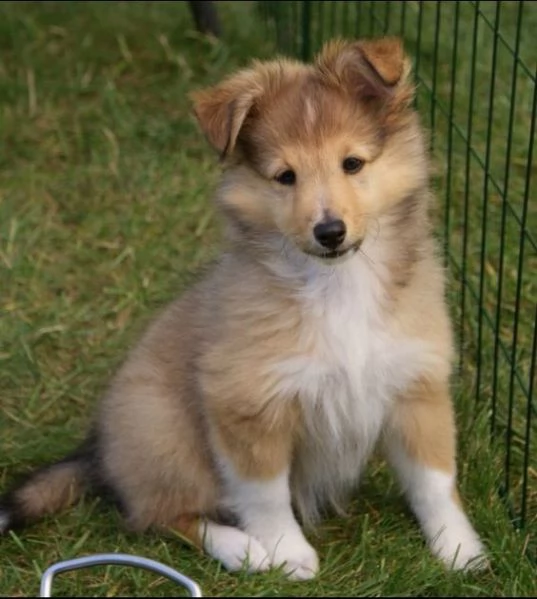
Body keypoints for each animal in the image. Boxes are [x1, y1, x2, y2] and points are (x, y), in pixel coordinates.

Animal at [0, 37, 486, 580]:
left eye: (353, 163)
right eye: (285, 177)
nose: (329, 232)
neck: (338, 284)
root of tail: (99, 450)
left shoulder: (416, 385)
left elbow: (435, 479)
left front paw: (459, 549)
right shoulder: (247, 404)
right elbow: (265, 494)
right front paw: (287, 553)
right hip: (165, 435)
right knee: (160, 515)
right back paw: (242, 550)